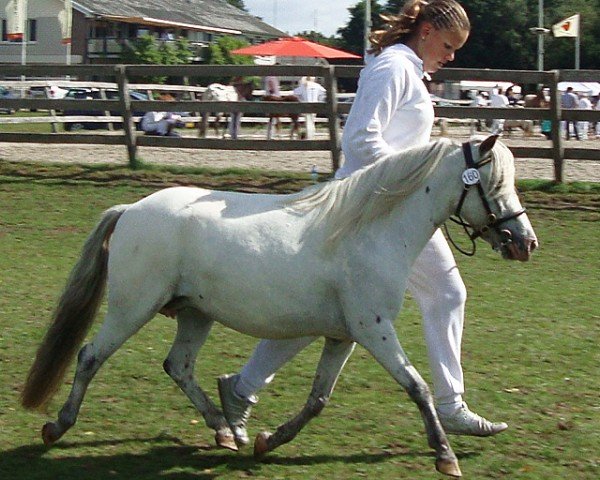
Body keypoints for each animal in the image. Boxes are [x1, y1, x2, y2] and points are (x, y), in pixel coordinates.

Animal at [22, 134, 540, 476]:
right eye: (494, 185)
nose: (525, 243)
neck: (367, 233)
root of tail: (130, 210)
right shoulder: (374, 329)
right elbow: (418, 387)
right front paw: (445, 456)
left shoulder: (343, 336)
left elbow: (317, 400)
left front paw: (268, 441)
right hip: (133, 307)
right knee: (90, 356)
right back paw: (57, 427)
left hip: (194, 314)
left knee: (178, 366)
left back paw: (226, 430)